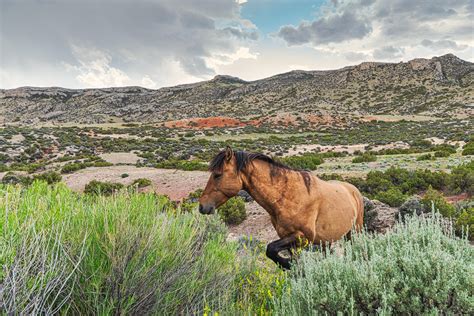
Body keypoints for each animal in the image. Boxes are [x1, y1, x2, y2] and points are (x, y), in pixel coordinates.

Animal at [198, 148, 364, 270]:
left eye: (217, 175)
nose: (202, 206)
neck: (288, 197)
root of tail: (353, 189)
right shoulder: (291, 241)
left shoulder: (302, 236)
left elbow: (270, 248)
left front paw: (287, 264)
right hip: (327, 241)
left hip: (354, 232)